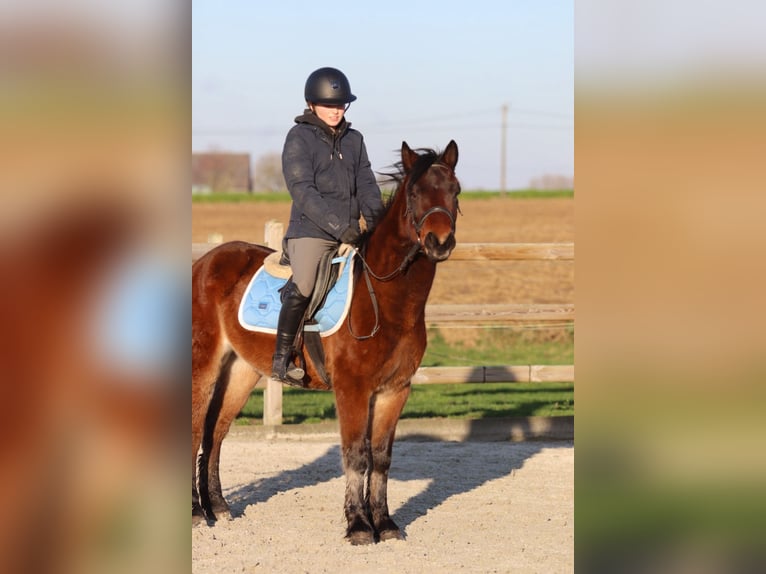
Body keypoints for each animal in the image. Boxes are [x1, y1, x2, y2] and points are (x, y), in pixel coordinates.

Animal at [192, 140, 460, 544]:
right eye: (415, 193)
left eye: (455, 191)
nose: (439, 243)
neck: (387, 298)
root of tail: (204, 262)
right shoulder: (352, 389)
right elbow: (356, 455)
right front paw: (359, 526)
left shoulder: (395, 390)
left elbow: (381, 458)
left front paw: (386, 524)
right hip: (203, 367)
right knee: (195, 430)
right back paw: (195, 512)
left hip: (241, 371)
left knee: (216, 432)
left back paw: (219, 508)